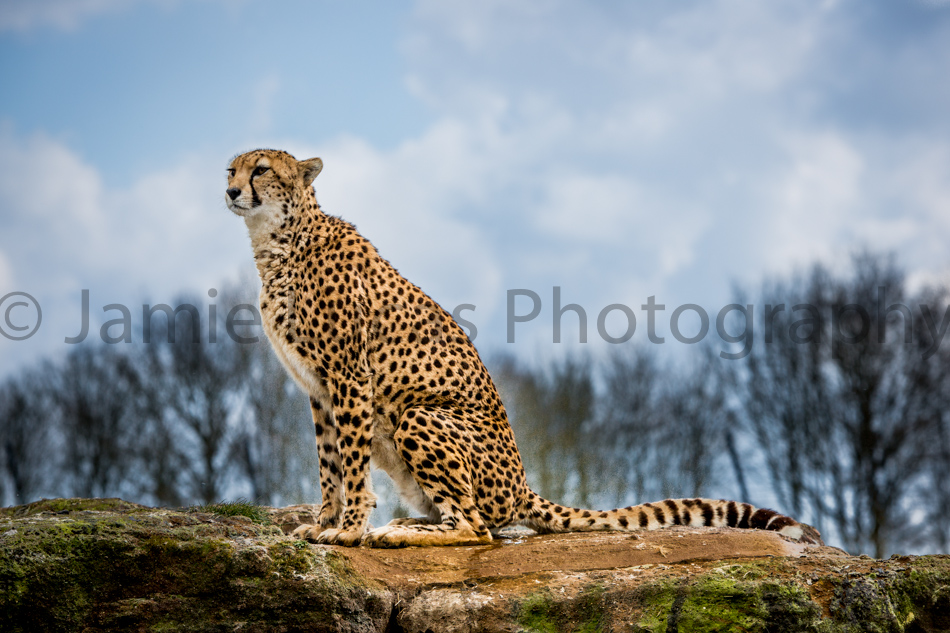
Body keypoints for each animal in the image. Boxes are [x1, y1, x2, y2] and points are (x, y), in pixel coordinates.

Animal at [225, 148, 822, 548]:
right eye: (231, 169)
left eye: (261, 170)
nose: (230, 192)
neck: (278, 241)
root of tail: (523, 486)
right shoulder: (317, 387)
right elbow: (328, 461)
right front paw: (324, 521)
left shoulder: (348, 377)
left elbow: (350, 463)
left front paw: (348, 530)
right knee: (468, 518)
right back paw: (407, 522)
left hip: (419, 414)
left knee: (477, 527)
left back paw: (397, 533)